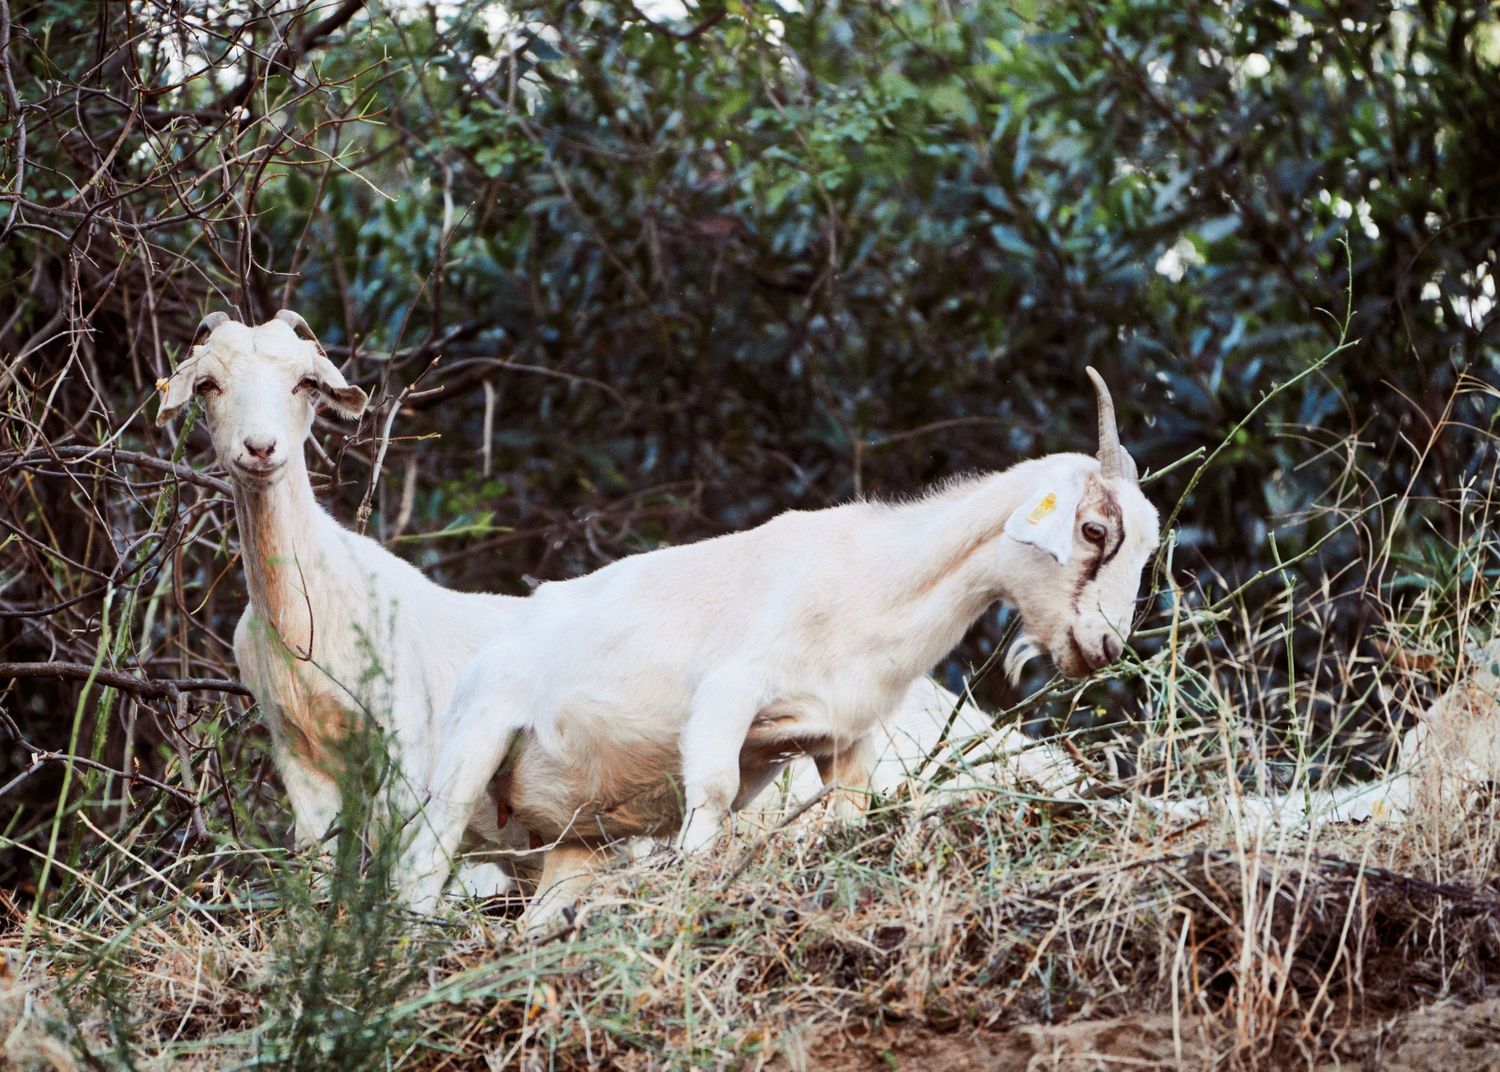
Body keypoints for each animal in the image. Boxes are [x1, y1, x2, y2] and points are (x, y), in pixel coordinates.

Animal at [156, 311, 528, 892]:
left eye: (305, 382)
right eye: (208, 385)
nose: (260, 448)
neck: (304, 622)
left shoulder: (407, 751)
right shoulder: (300, 753)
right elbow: (314, 866)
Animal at [399, 370, 1161, 924]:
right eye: (1094, 530)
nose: (1104, 646)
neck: (864, 583)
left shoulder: (844, 738)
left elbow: (848, 815)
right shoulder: (727, 698)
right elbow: (711, 794)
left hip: (577, 838)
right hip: (469, 756)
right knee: (422, 865)